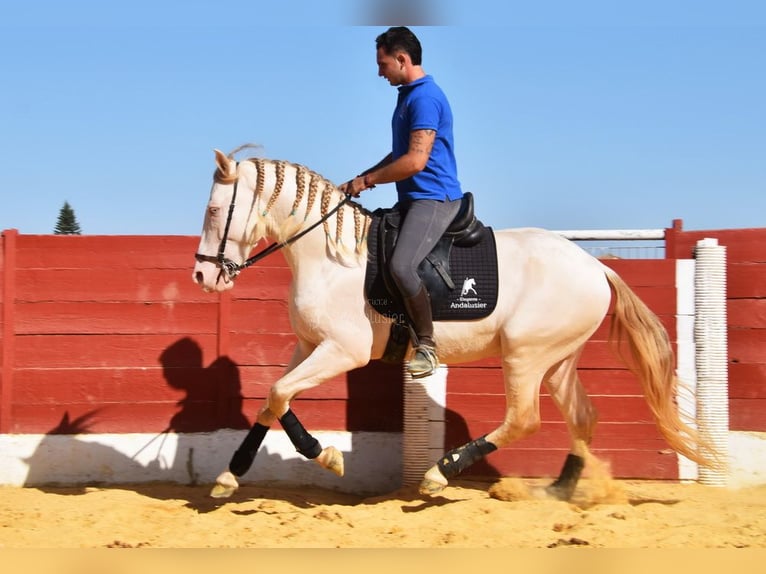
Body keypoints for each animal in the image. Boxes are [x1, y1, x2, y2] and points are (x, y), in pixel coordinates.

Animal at [192, 146, 715, 500]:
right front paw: (230, 474)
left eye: (214, 210)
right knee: (582, 416)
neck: (330, 257)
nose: (202, 275)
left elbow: (280, 395)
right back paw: (557, 492)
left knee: (523, 419)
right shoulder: (307, 347)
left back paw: (439, 474)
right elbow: (272, 400)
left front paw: (327, 456)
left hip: (526, 355)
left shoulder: (342, 351)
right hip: (559, 360)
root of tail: (595, 267)